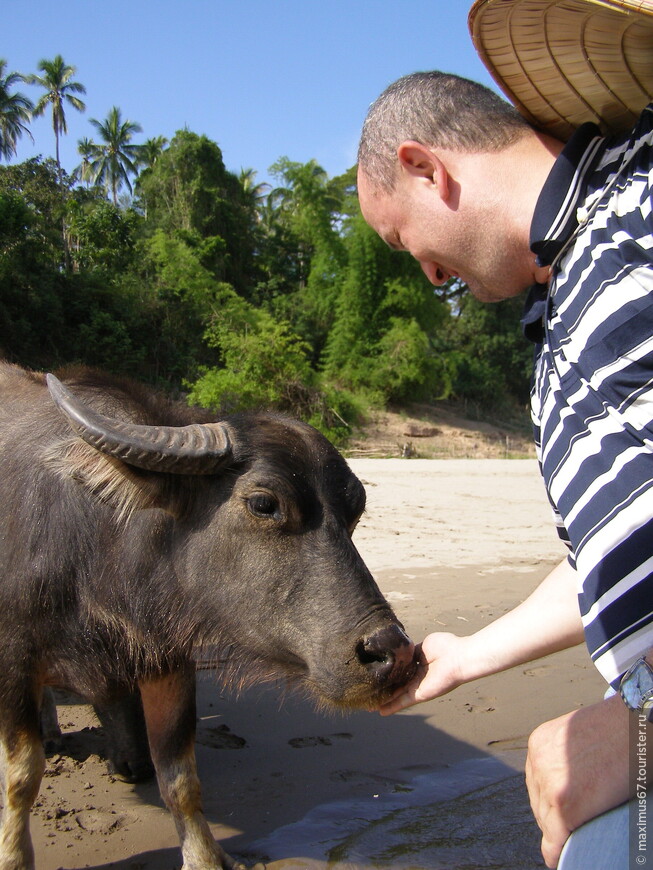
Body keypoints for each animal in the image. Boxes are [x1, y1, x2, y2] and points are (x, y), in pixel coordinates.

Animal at [0, 364, 416, 870]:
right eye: (263, 504)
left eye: (354, 512)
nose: (392, 653)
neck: (98, 552)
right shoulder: (13, 660)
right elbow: (22, 776)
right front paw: (14, 856)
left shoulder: (167, 657)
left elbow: (180, 775)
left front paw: (203, 856)